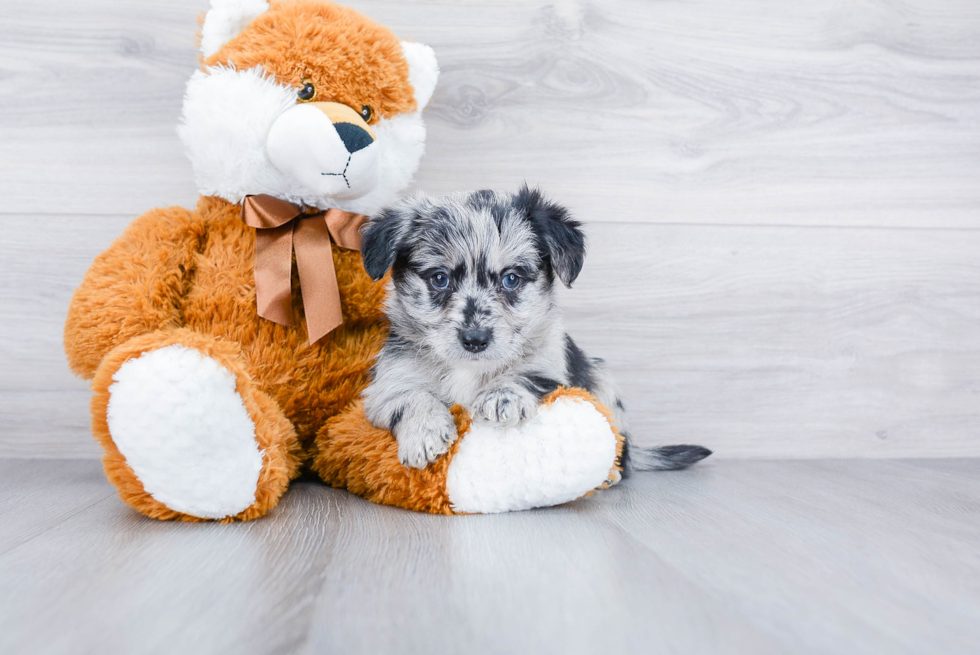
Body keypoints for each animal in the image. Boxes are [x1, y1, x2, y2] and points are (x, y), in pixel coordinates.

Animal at [356, 187, 708, 474]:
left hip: (602, 380)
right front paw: (424, 433)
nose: (475, 340)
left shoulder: (551, 366)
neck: (469, 369)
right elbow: (411, 397)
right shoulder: (388, 383)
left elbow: (525, 374)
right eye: (439, 279)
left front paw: (502, 397)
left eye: (511, 278)